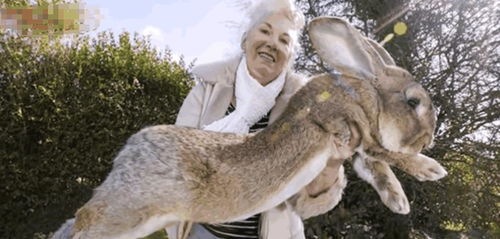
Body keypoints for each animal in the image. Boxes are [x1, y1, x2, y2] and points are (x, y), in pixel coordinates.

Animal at [52, 17, 448, 239]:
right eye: (414, 102)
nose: (428, 139)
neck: (365, 93)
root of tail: (128, 152)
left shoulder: (357, 149)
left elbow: (376, 167)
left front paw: (398, 202)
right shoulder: (349, 126)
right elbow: (385, 152)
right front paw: (430, 170)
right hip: (131, 210)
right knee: (87, 219)